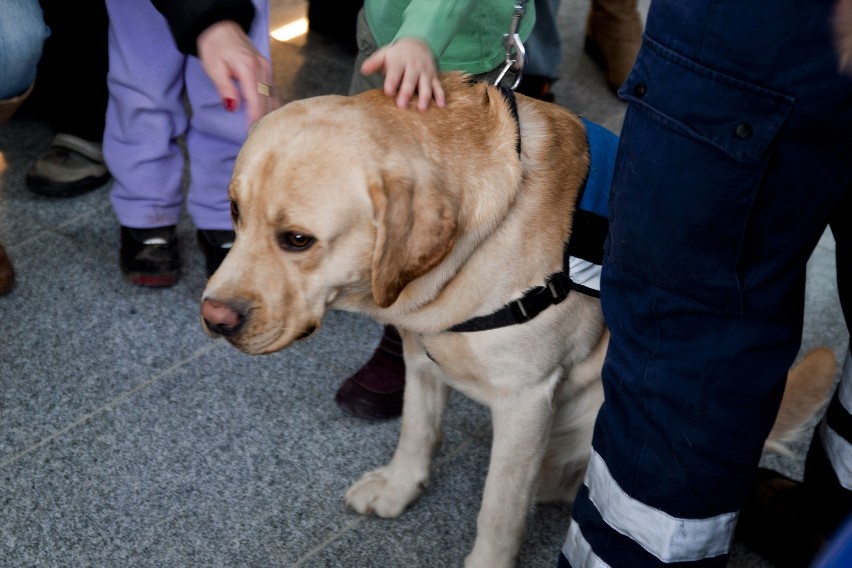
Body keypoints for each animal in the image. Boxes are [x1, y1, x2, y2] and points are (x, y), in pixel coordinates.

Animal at [200, 74, 832, 568]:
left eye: (297, 240)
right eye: (234, 211)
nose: (212, 316)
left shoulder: (526, 401)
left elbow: (499, 510)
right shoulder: (419, 352)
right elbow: (417, 431)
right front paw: (400, 488)